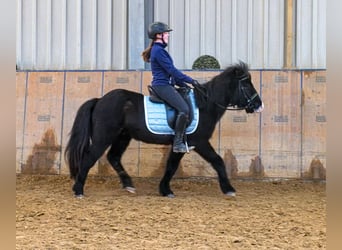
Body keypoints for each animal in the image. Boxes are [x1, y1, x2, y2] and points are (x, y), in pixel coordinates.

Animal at [64, 62, 264, 197]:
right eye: (246, 84)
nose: (259, 105)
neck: (205, 104)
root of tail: (100, 100)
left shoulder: (183, 144)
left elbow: (171, 166)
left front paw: (165, 189)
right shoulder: (198, 142)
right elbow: (217, 161)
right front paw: (229, 189)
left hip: (122, 136)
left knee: (113, 157)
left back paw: (128, 185)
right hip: (103, 137)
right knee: (89, 157)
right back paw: (78, 190)